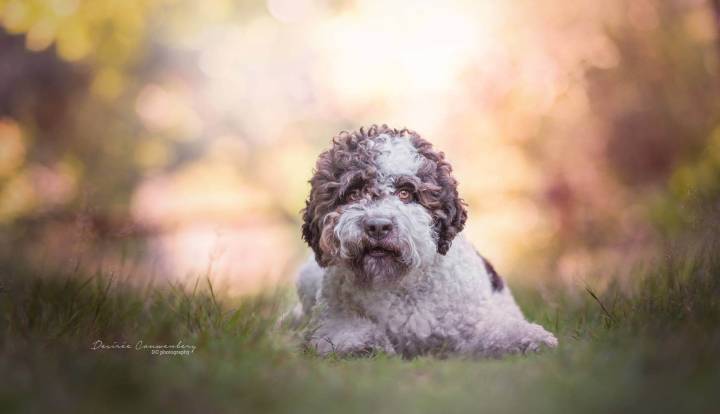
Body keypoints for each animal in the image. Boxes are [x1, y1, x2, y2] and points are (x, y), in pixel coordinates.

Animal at [292, 124, 556, 358]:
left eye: (405, 193)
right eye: (353, 193)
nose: (377, 226)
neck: (400, 286)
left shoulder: (476, 322)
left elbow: (498, 330)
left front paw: (533, 339)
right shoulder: (334, 318)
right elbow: (344, 332)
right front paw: (363, 345)